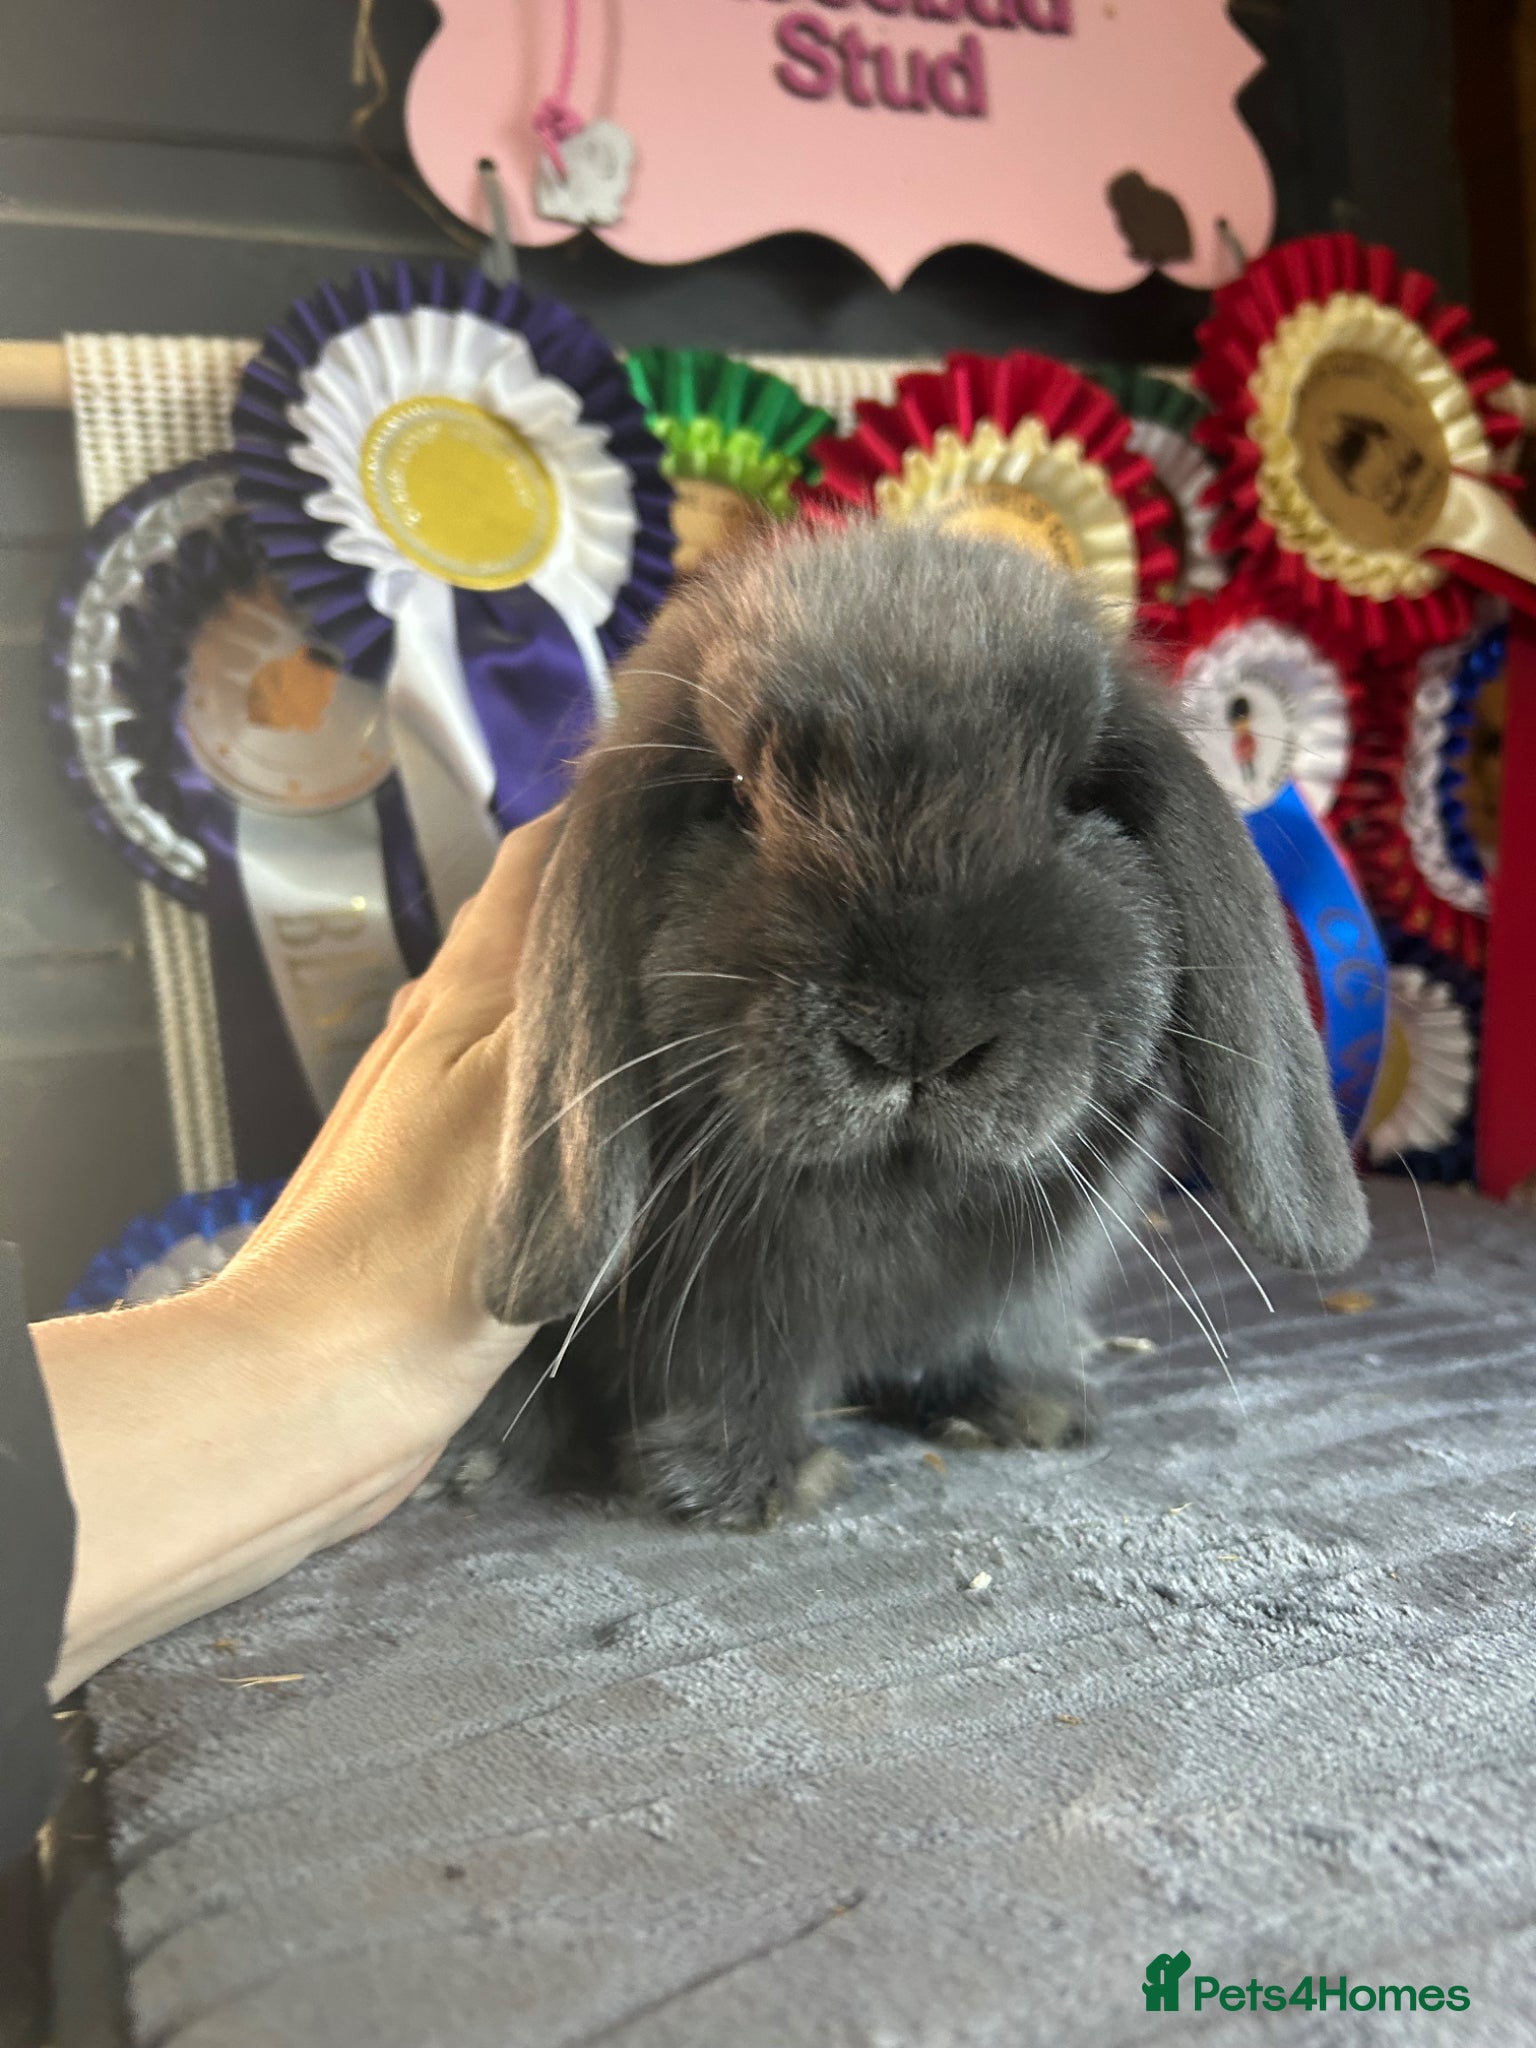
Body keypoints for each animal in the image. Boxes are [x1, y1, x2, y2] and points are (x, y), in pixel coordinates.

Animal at [467, 519, 1368, 1530]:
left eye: (1079, 795)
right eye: (733, 796)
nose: (918, 1039)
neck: (902, 1196)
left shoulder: (1022, 1287)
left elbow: (991, 1340)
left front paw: (1031, 1413)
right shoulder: (698, 1308)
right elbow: (721, 1375)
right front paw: (749, 1488)